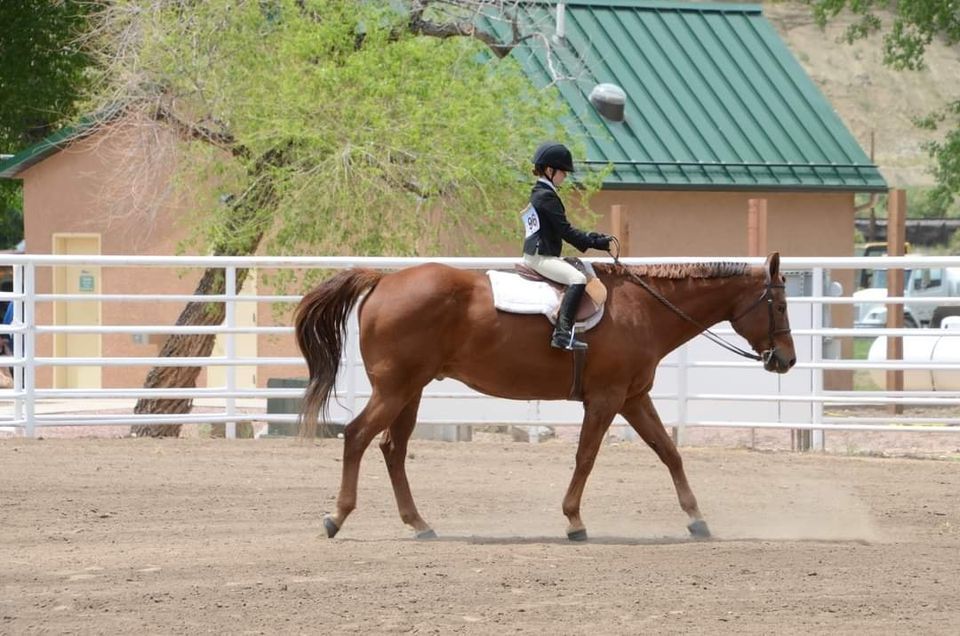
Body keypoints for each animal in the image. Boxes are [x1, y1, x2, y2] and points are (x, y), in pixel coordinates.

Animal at [292, 251, 796, 540]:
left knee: (392, 449)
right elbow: (586, 458)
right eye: (780, 304)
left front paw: (696, 519)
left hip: (410, 391)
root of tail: (382, 280)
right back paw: (337, 517)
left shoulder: (633, 397)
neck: (643, 309)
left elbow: (669, 452)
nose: (787, 360)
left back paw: (419, 524)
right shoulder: (607, 398)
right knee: (357, 437)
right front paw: (574, 520)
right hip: (394, 389)